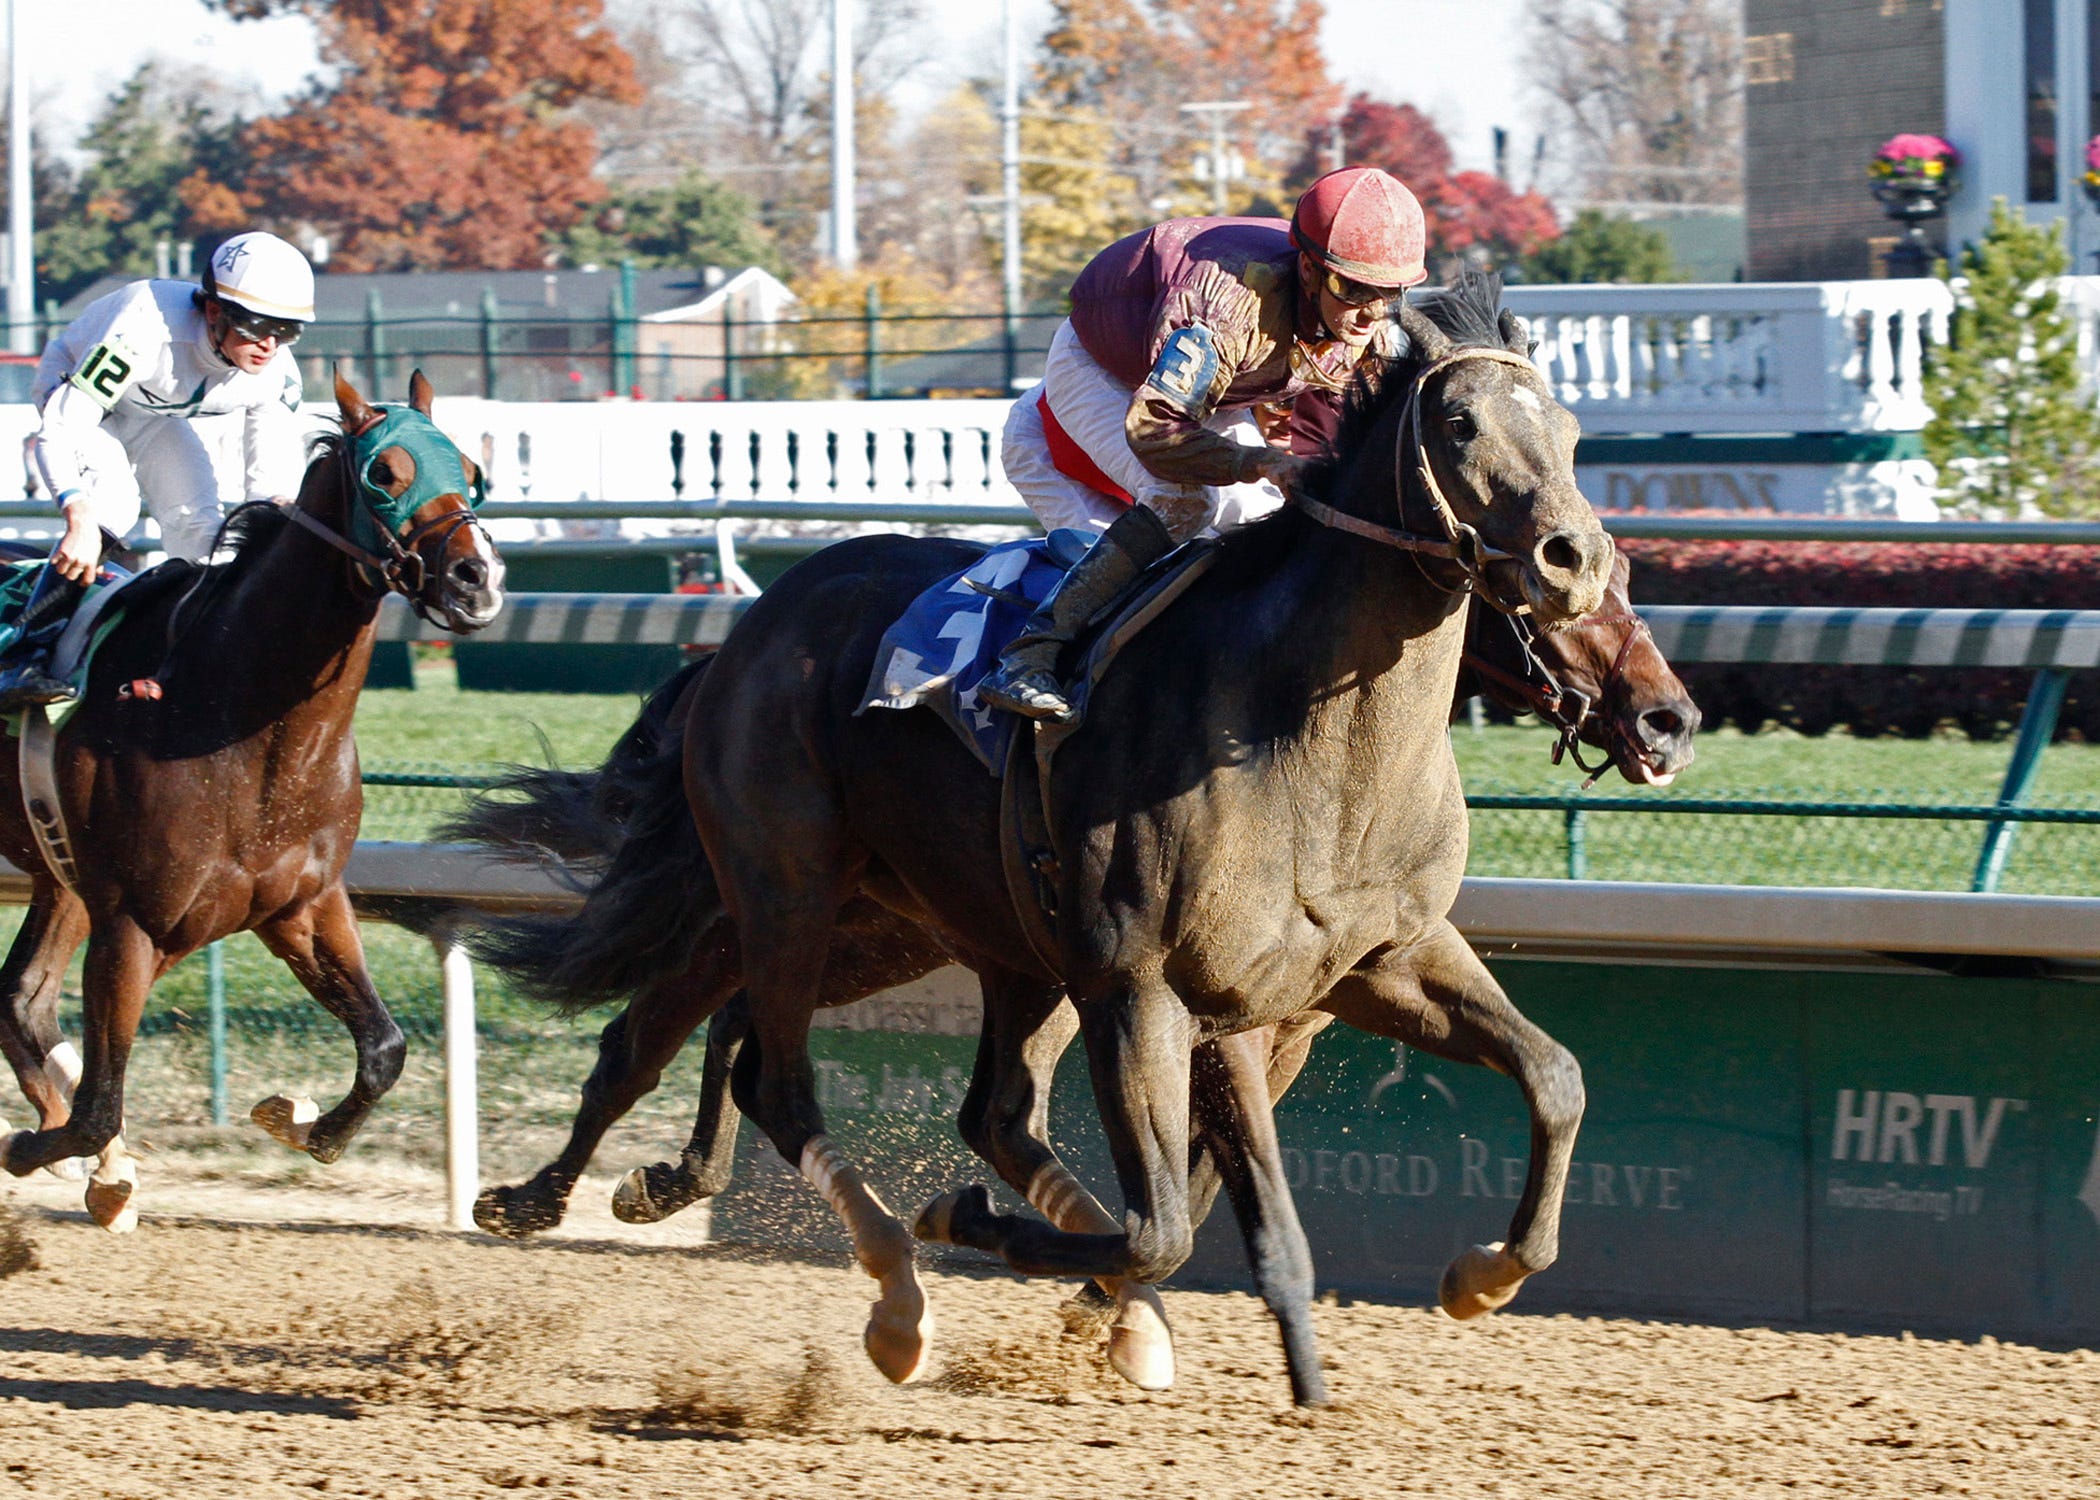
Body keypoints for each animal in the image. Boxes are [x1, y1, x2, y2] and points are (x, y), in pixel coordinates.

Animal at [0, 371, 503, 1226]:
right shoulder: (134, 923)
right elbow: (99, 1105)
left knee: (23, 999)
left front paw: (299, 1121)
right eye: (385, 473)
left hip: (56, 872)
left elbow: (386, 1048)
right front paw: (40, 1150)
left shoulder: (301, 905)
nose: (479, 579)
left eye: (470, 470)